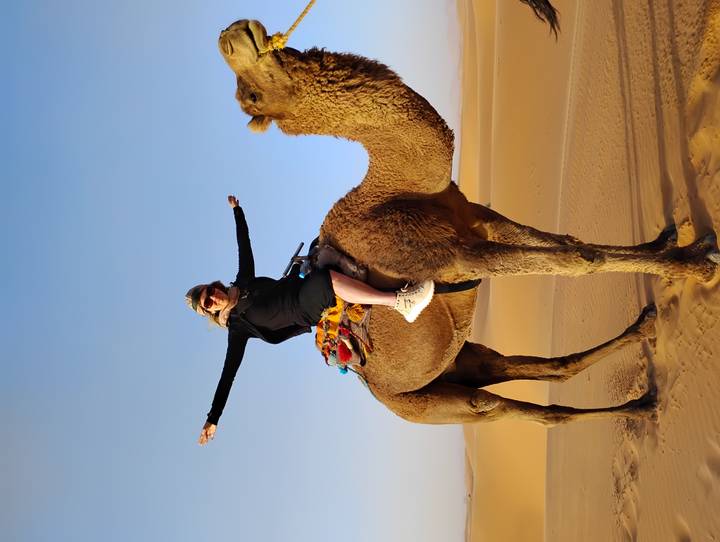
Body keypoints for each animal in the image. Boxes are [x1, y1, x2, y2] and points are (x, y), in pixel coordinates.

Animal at [215, 12, 719, 426]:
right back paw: (640, 403)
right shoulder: (461, 257)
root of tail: (382, 392)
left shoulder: (477, 219)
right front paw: (698, 265)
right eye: (251, 97)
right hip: (435, 403)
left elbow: (569, 243)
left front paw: (673, 243)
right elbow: (577, 262)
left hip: (462, 361)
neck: (395, 193)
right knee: (511, 409)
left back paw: (643, 348)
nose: (229, 36)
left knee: (523, 367)